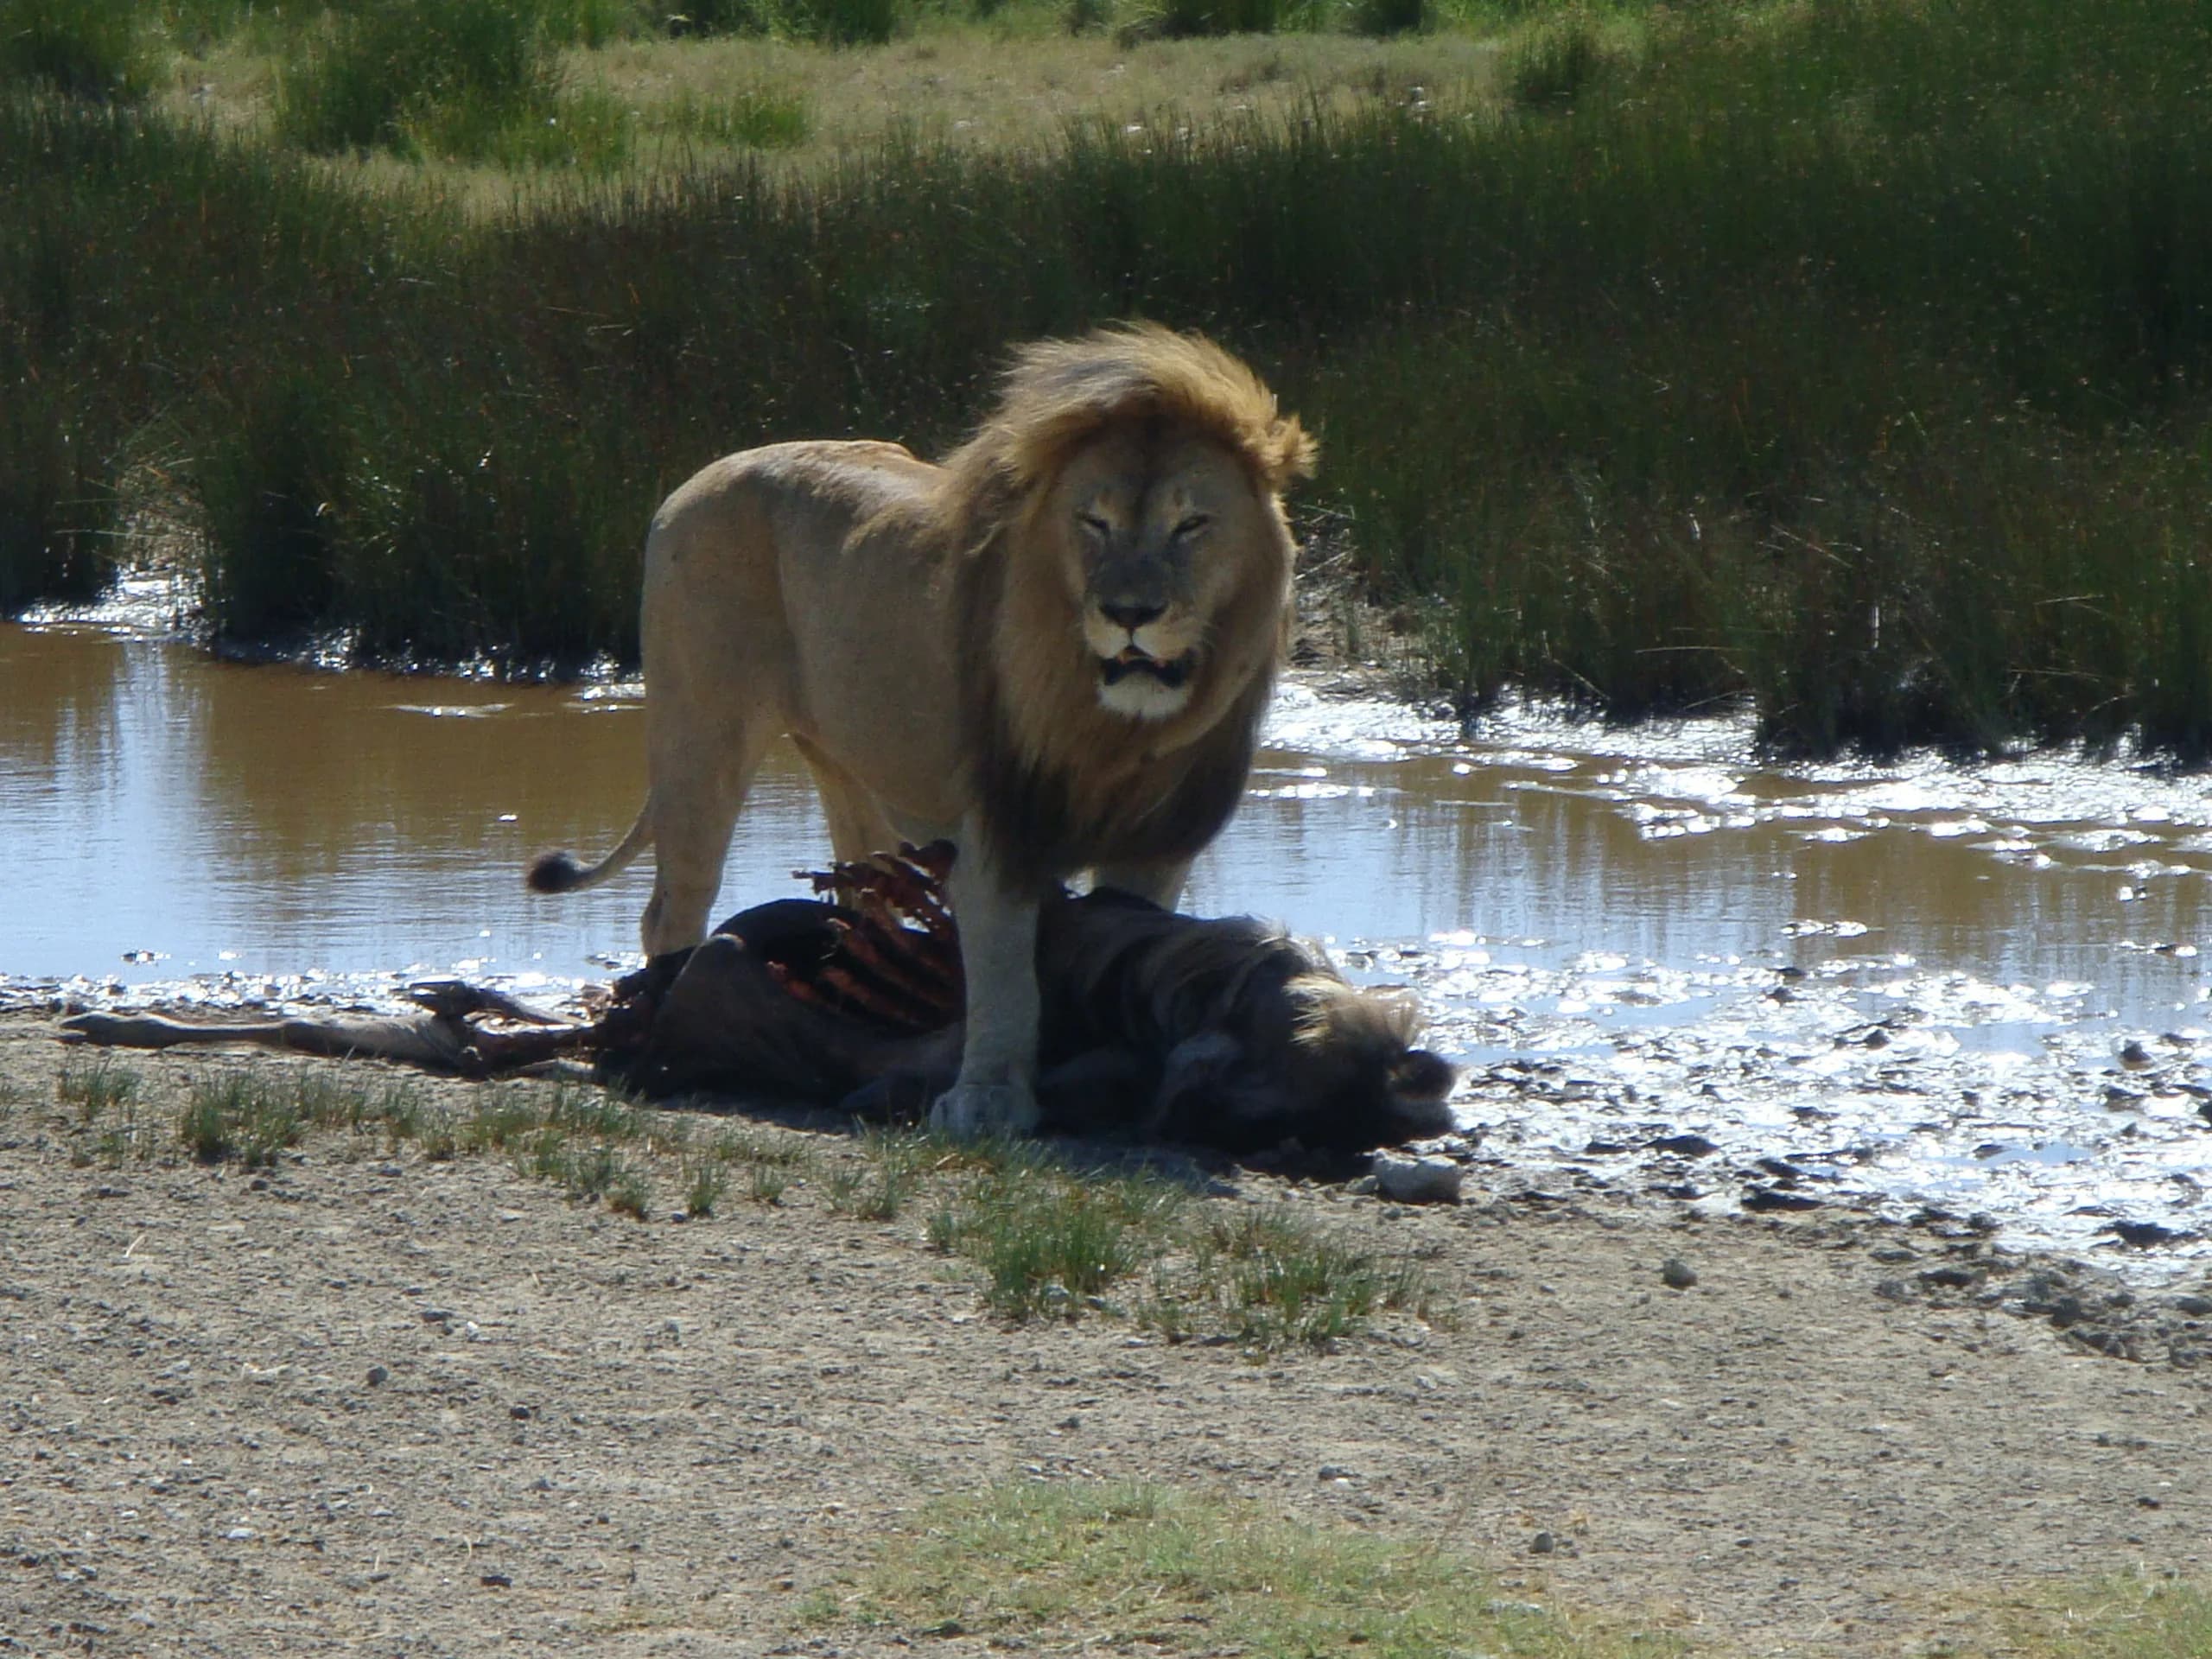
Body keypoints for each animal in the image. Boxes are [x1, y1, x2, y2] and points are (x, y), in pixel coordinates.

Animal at [527, 325, 1316, 1137]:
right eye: (1093, 523)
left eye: (1192, 525)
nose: (1130, 613)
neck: (1111, 726)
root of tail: (705, 472)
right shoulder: (995, 829)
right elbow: (1005, 976)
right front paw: (987, 1100)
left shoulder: (1156, 844)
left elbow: (1129, 942)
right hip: (700, 736)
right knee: (672, 905)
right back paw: (669, 1024)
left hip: (847, 764)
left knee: (856, 901)